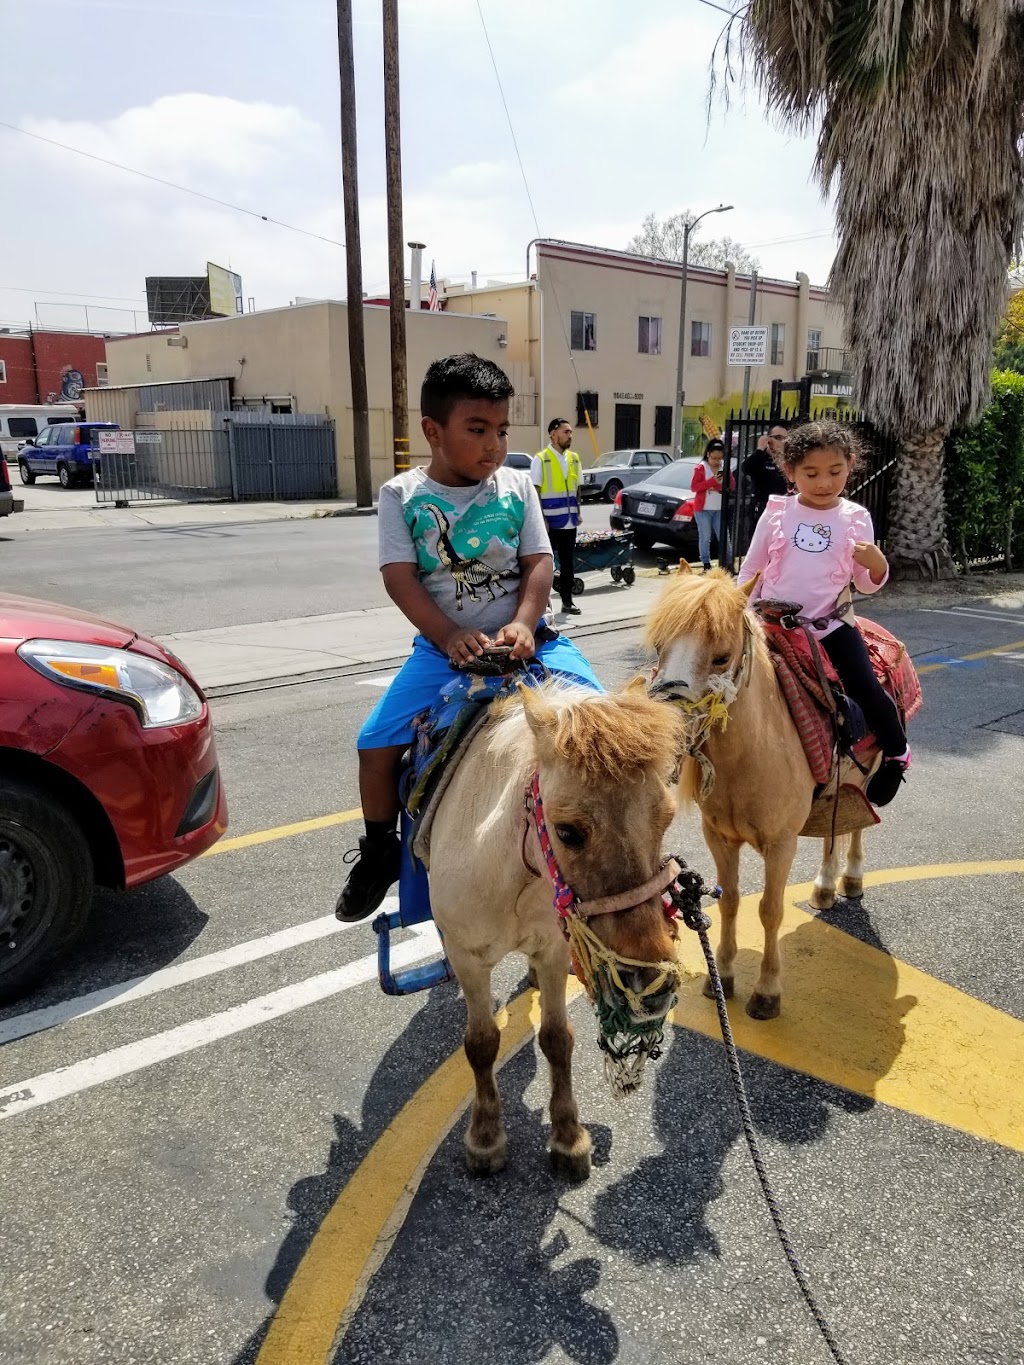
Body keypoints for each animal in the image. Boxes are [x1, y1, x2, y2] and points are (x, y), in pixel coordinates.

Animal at [425, 677, 690, 1179]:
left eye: (667, 817)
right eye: (567, 832)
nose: (648, 983)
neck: (513, 873)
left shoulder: (550, 949)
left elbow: (557, 1039)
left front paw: (568, 1137)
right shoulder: (468, 957)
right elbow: (481, 1042)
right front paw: (485, 1138)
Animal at [649, 567, 873, 1026]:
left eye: (721, 657)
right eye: (660, 647)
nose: (668, 725)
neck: (752, 754)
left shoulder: (781, 843)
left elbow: (770, 910)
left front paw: (768, 993)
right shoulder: (719, 837)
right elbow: (730, 902)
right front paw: (723, 976)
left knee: (857, 828)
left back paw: (852, 877)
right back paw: (825, 885)